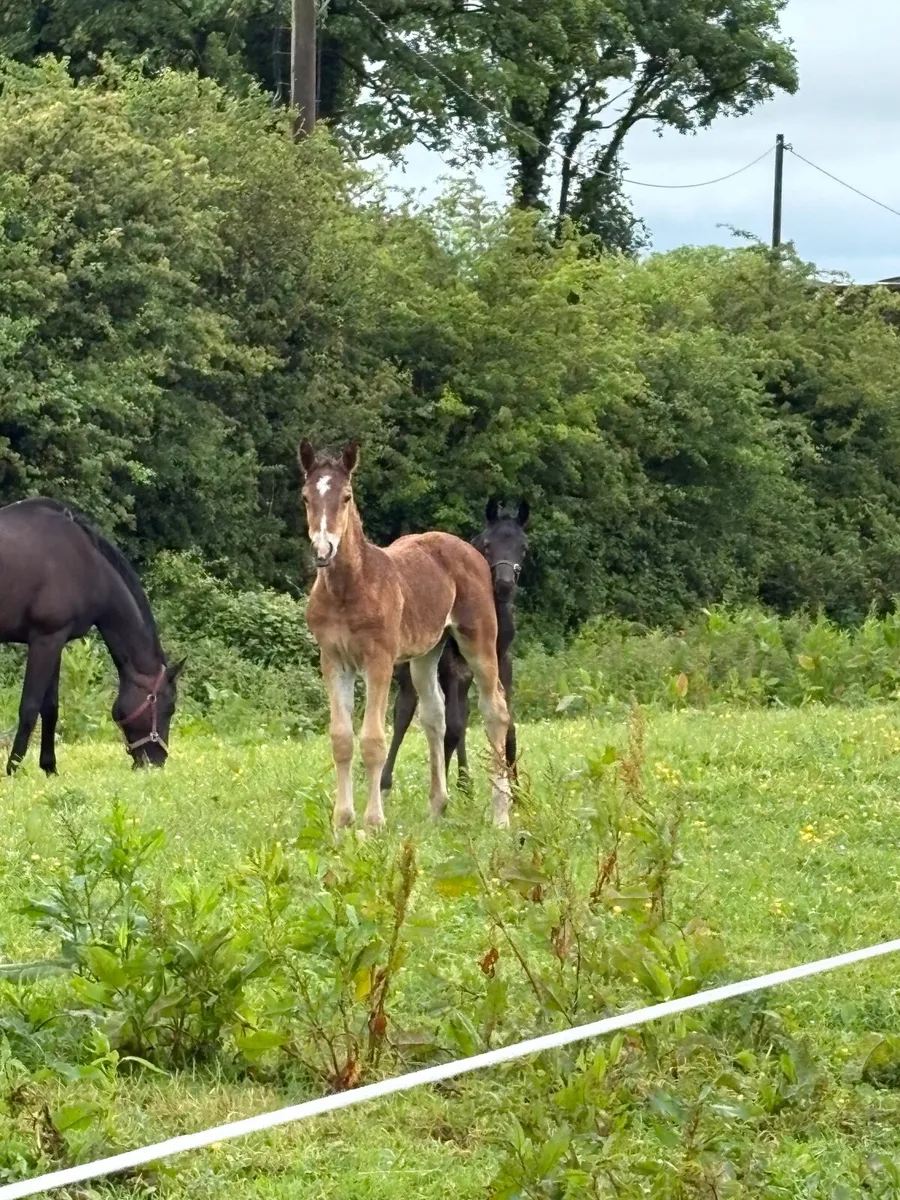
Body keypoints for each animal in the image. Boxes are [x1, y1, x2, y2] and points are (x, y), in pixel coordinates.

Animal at [0, 498, 184, 774]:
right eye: (169, 707)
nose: (156, 762)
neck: (87, 564)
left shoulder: (55, 640)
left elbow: (50, 707)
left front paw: (49, 768)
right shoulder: (45, 640)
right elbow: (30, 707)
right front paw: (13, 769)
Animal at [298, 440, 512, 830]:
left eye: (347, 496)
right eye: (306, 497)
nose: (323, 550)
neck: (348, 588)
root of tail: (470, 550)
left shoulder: (379, 660)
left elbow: (372, 740)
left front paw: (372, 824)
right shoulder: (333, 660)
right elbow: (341, 739)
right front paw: (341, 822)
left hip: (478, 639)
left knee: (496, 711)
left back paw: (501, 815)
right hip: (426, 652)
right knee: (435, 715)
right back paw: (438, 807)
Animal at [380, 498, 529, 797]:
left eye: (523, 546)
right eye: (487, 545)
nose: (504, 585)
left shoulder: (502, 661)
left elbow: (507, 726)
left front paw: (518, 793)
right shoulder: (451, 665)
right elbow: (452, 726)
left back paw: (465, 783)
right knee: (405, 711)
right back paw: (385, 782)